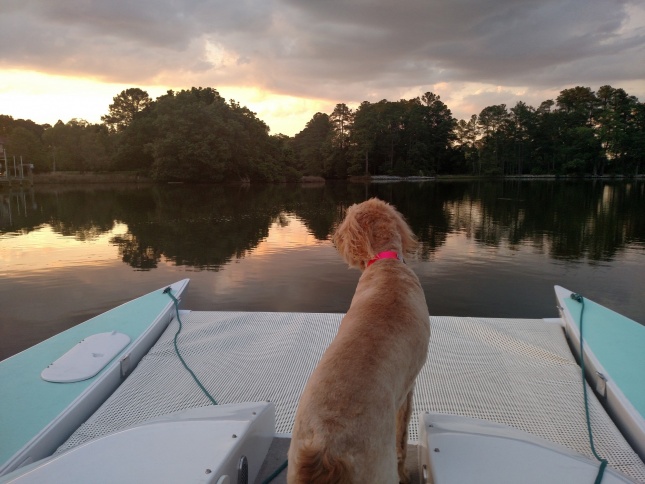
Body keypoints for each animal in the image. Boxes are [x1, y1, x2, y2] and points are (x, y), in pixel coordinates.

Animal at [288, 198, 430, 484]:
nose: (335, 239)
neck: (386, 265)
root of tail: (326, 450)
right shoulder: (407, 390)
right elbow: (401, 440)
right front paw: (406, 473)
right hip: (379, 469)